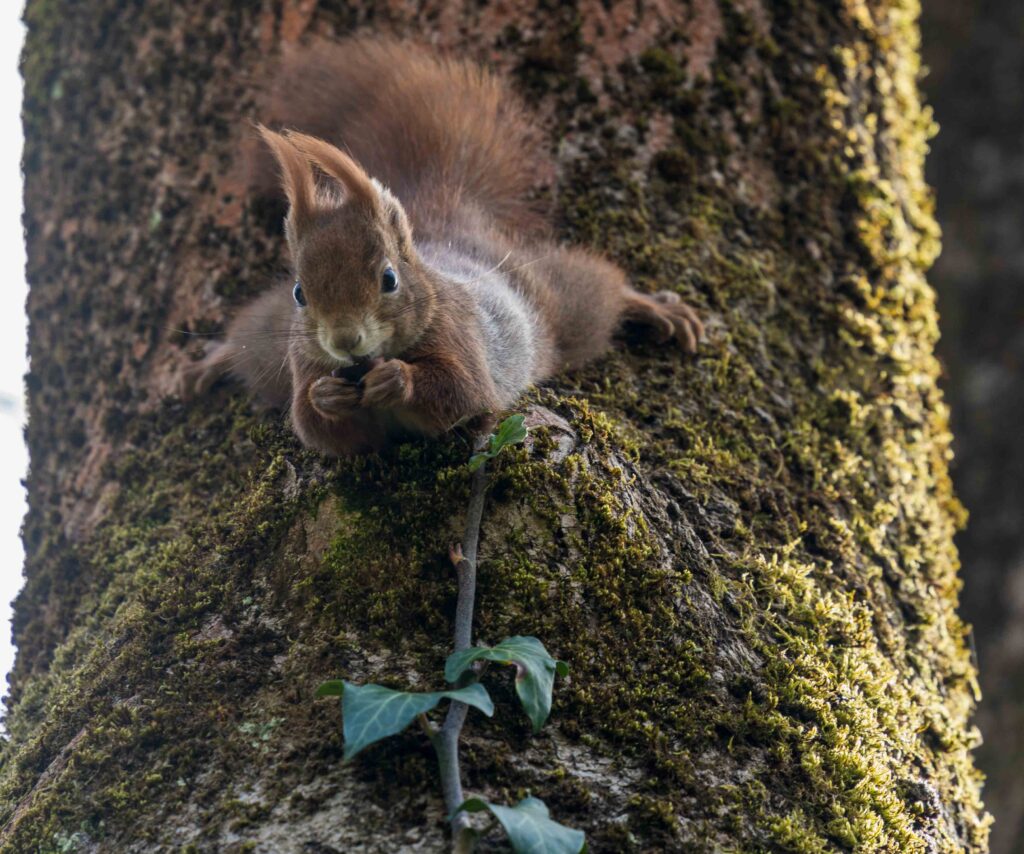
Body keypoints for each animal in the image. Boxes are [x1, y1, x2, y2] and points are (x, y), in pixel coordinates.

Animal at [182, 38, 703, 456]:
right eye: (299, 293)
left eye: (389, 278)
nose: (345, 341)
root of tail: (447, 222)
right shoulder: (302, 362)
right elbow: (320, 429)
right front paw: (325, 399)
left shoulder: (460, 336)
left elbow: (463, 392)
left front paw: (398, 379)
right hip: (270, 347)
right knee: (250, 339)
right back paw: (213, 360)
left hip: (551, 301)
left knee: (595, 292)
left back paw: (654, 307)